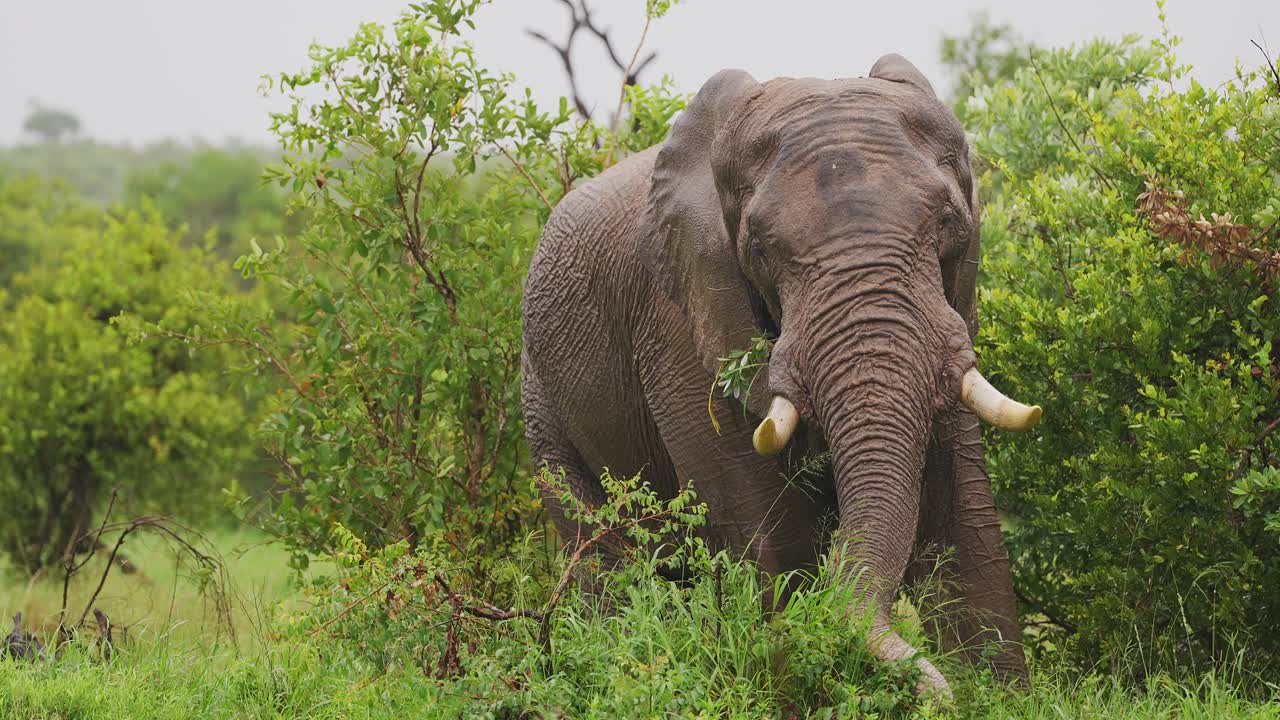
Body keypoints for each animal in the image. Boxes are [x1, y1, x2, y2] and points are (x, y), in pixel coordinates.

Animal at [520, 54, 1041, 695]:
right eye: (760, 250)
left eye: (950, 224)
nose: (927, 685)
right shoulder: (678, 322)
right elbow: (769, 528)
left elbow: (962, 523)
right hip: (540, 400)